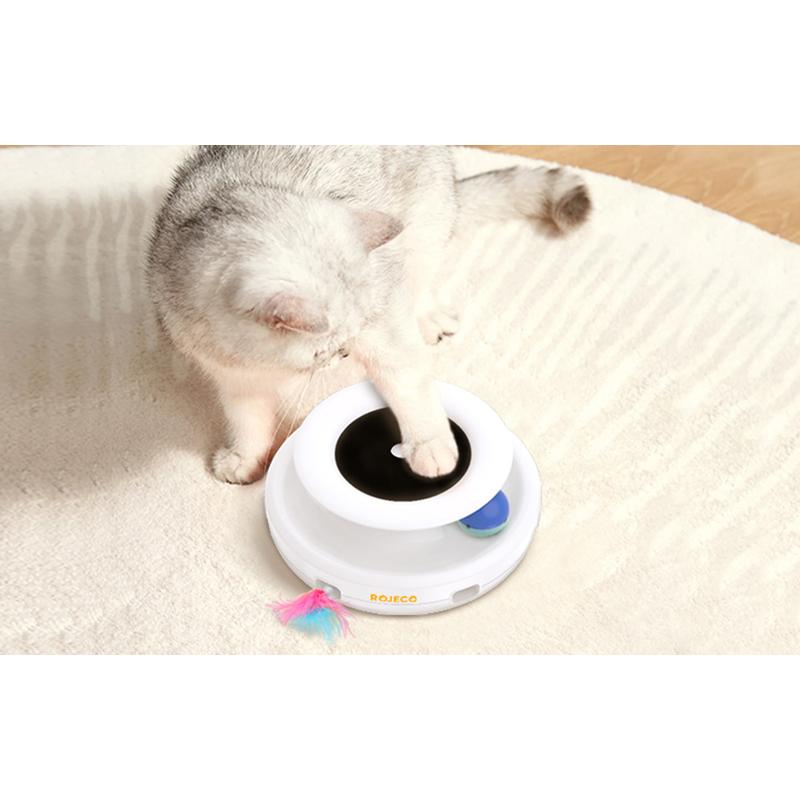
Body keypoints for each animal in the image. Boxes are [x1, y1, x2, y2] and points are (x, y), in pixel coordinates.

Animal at [147, 146, 590, 484]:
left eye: (347, 340)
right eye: (324, 350)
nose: (344, 355)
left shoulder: (384, 323)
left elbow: (407, 385)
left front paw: (429, 444)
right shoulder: (234, 379)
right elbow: (247, 421)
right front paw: (245, 459)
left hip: (425, 227)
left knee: (420, 277)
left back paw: (427, 316)